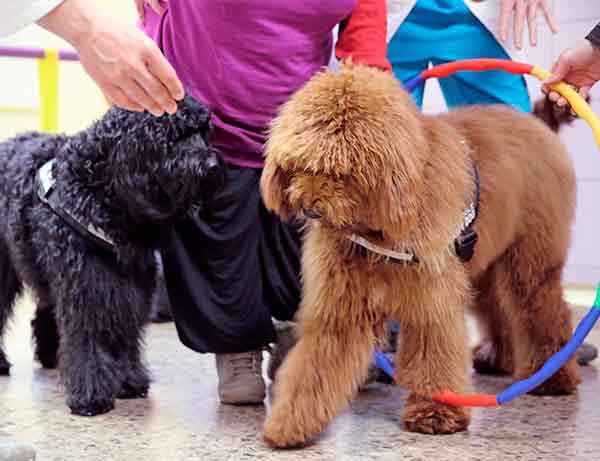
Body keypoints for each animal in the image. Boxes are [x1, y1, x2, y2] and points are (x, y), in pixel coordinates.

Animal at [0, 95, 226, 416]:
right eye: (174, 136)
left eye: (203, 132)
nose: (211, 165)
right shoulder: (87, 283)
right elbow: (88, 337)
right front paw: (91, 396)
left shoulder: (130, 284)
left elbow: (125, 335)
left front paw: (129, 381)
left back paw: (51, 356)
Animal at [258, 63, 580, 446]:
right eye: (300, 165)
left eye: (339, 172)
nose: (308, 207)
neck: (378, 224)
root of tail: (535, 124)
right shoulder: (341, 308)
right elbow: (314, 367)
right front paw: (289, 423)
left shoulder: (430, 299)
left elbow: (433, 357)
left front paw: (436, 414)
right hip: (481, 264)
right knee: (498, 307)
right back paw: (499, 358)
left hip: (529, 261)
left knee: (543, 310)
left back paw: (553, 377)